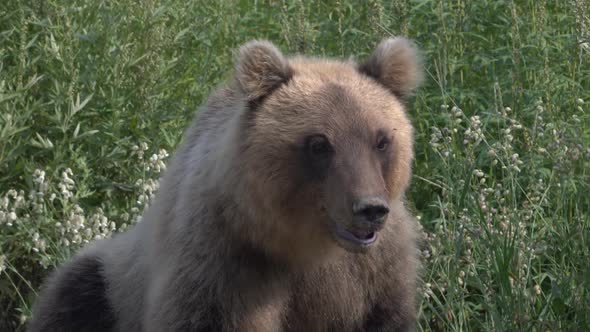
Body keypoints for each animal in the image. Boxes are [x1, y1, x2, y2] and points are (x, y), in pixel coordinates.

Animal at [28, 37, 426, 332]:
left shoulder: (375, 272)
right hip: (109, 281)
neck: (304, 245)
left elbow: (387, 312)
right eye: (318, 143)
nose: (370, 208)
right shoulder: (223, 264)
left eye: (381, 140)